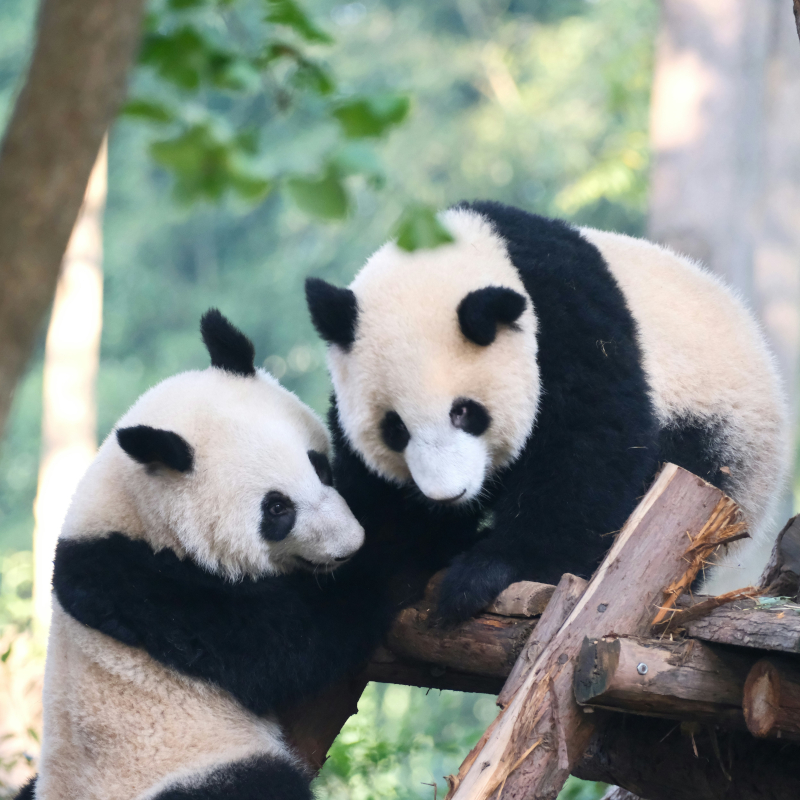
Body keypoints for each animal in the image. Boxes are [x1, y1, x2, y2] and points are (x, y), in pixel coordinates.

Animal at [20, 310, 387, 800]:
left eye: (320, 467)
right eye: (277, 509)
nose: (350, 544)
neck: (135, 512)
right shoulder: (147, 590)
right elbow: (300, 638)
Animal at [305, 201, 790, 626]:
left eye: (465, 412)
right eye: (395, 429)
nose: (447, 496)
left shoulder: (569, 321)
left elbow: (589, 451)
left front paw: (485, 572)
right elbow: (373, 496)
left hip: (718, 431)